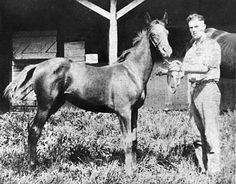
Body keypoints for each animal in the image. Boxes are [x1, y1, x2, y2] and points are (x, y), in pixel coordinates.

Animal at [3, 12, 172, 173]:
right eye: (153, 34)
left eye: (167, 32)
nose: (167, 51)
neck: (131, 71)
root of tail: (38, 65)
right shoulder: (124, 112)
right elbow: (128, 141)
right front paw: (129, 172)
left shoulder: (134, 111)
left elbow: (134, 140)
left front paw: (134, 169)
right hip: (45, 106)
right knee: (34, 131)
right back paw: (33, 166)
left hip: (54, 105)